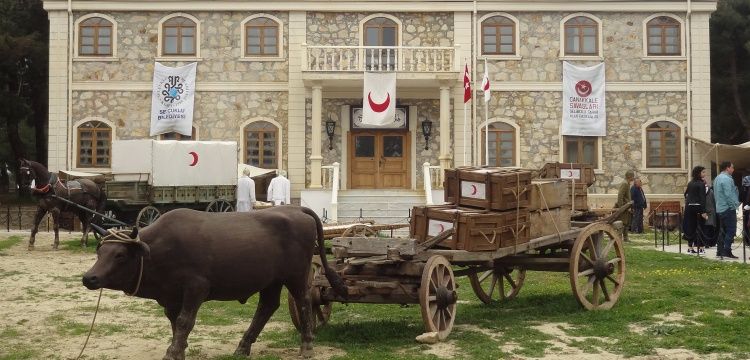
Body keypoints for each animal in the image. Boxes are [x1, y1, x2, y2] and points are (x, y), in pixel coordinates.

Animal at [83, 205, 348, 360]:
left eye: (119, 255)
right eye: (100, 252)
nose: (89, 277)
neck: (160, 249)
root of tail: (296, 209)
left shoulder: (196, 287)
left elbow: (184, 321)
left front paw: (173, 352)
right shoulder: (171, 296)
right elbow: (174, 321)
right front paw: (179, 350)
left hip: (296, 275)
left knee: (304, 302)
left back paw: (307, 345)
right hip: (270, 280)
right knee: (267, 306)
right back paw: (243, 347)